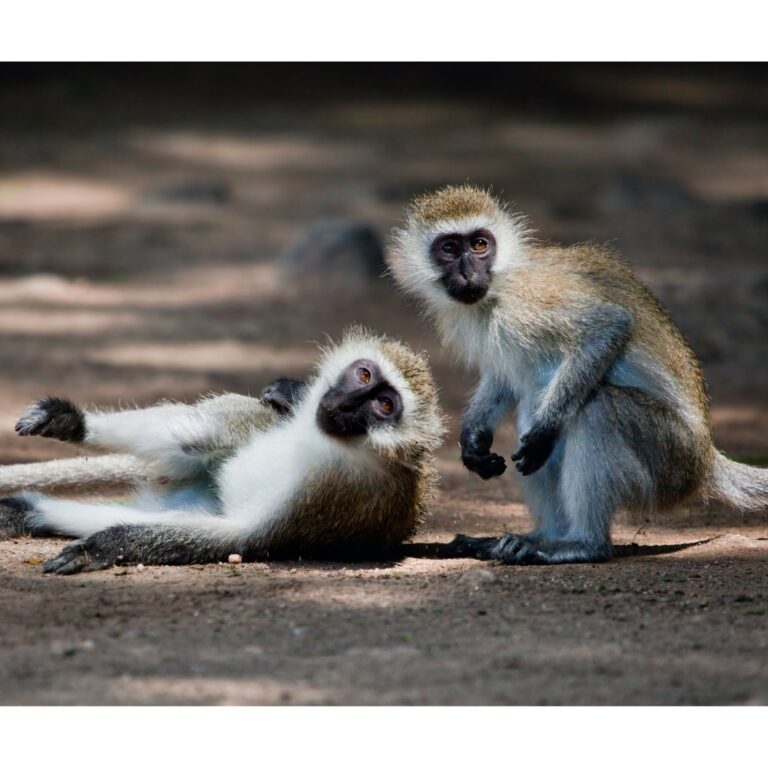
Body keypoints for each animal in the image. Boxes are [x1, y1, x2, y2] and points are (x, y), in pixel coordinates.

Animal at [1, 328, 444, 572]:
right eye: (363, 375)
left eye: (384, 406)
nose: (345, 404)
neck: (333, 444)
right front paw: (69, 420)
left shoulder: (336, 495)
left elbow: (239, 536)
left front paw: (99, 547)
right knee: (198, 434)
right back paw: (29, 505)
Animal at [390, 182, 768, 560]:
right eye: (450, 249)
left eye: (480, 244)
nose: (469, 273)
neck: (497, 290)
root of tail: (706, 460)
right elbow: (504, 377)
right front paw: (472, 438)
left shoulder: (528, 302)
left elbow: (609, 326)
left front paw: (544, 431)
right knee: (532, 406)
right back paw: (540, 536)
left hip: (671, 459)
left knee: (595, 409)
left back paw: (582, 543)